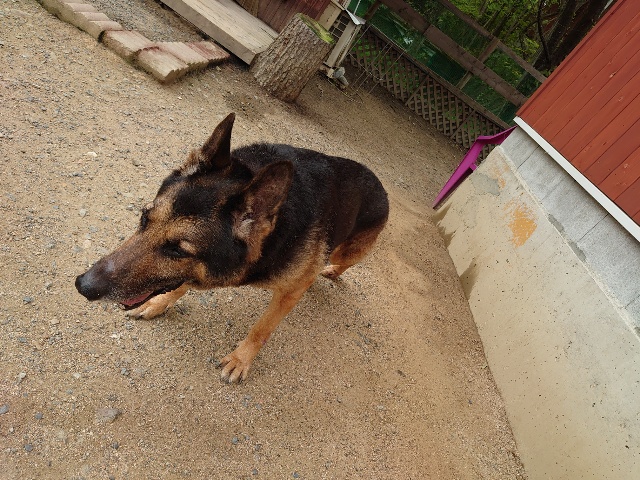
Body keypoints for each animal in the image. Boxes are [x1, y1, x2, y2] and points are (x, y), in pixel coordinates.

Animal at [75, 113, 389, 382]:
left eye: (178, 250)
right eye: (144, 218)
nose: (83, 285)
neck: (271, 238)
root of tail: (380, 185)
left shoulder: (289, 292)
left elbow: (262, 329)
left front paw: (241, 360)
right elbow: (180, 284)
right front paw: (159, 303)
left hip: (348, 251)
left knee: (339, 263)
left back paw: (330, 270)